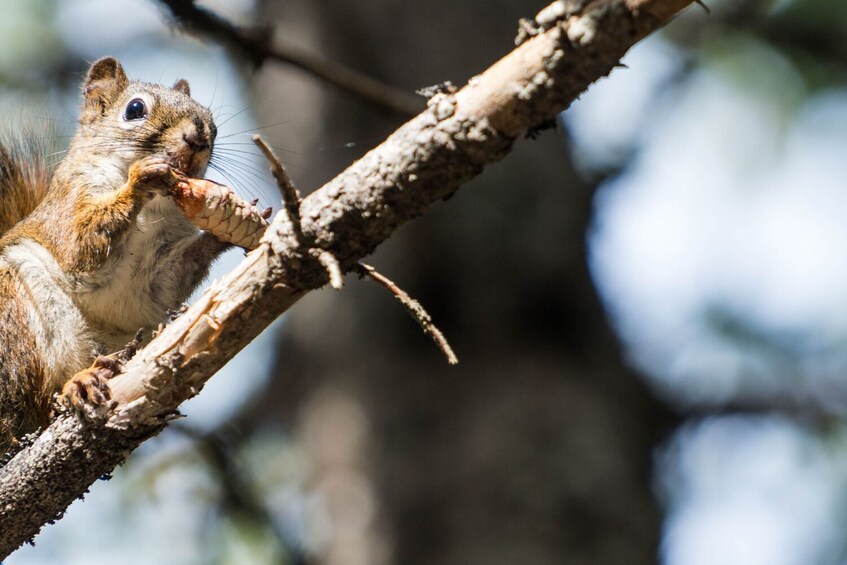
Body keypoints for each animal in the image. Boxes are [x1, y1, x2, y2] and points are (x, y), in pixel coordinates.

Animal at [0, 57, 232, 452]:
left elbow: (166, 284)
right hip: (15, 310)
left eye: (210, 119)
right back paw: (76, 383)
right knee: (38, 399)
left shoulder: (158, 272)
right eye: (135, 109)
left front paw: (225, 230)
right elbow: (80, 246)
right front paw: (140, 180)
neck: (155, 209)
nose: (198, 137)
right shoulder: (68, 210)